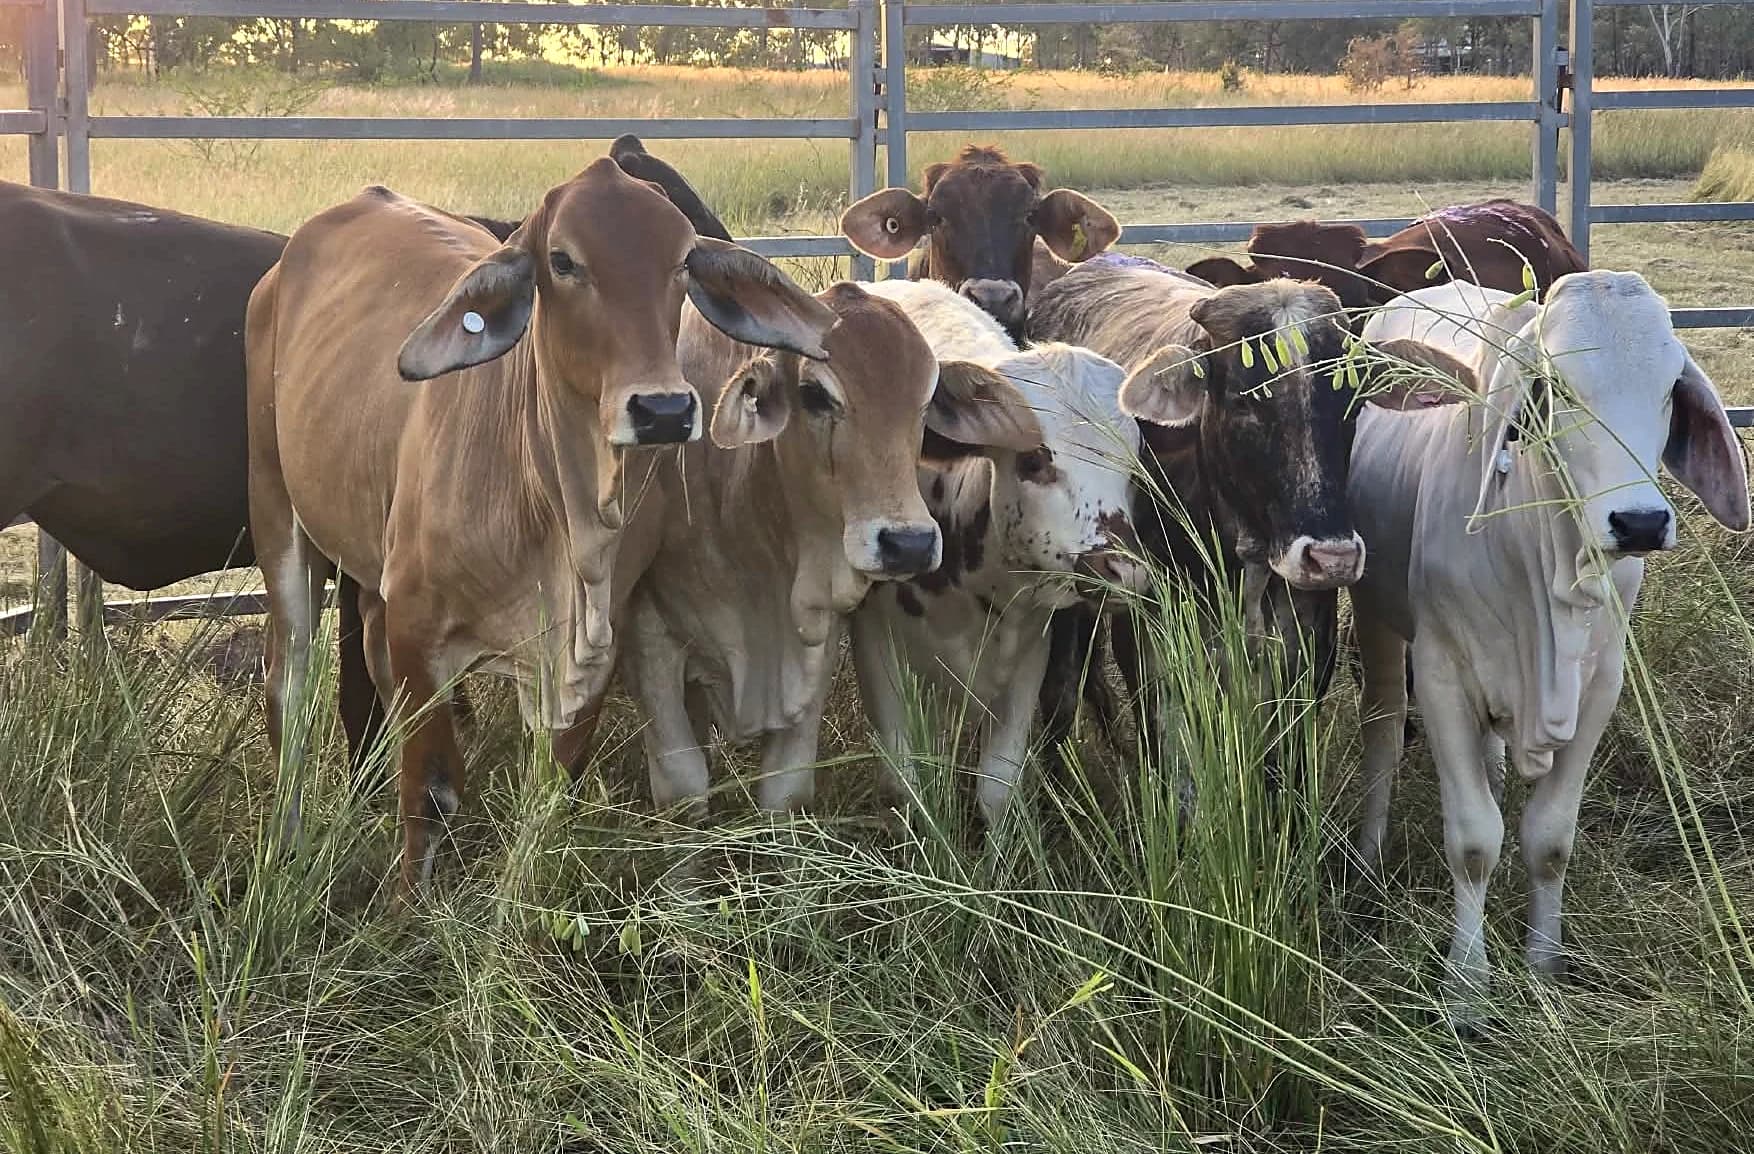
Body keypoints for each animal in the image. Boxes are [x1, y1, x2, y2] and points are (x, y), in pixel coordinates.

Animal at [247, 160, 839, 890]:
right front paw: (410, 905)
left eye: (681, 262)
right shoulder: (419, 626)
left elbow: (552, 788)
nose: (664, 410)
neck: (561, 514)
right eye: (563, 261)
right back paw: (284, 845)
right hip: (277, 514)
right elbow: (430, 792)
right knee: (289, 684)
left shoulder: (592, 646)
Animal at [619, 282, 1043, 814]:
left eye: (927, 402)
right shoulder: (647, 635)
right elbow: (683, 783)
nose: (909, 545)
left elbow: (786, 788)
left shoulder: (814, 641)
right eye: (814, 394)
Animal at [848, 279, 1145, 824]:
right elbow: (907, 781)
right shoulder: (876, 644)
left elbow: (997, 787)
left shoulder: (1031, 653)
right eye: (1033, 460)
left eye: (1134, 468)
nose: (1122, 572)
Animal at [1348, 273, 1750, 1025]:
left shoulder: (1600, 689)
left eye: (1667, 387)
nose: (1640, 522)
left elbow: (1550, 839)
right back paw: (1366, 855)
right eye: (1558, 386)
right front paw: (1467, 988)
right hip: (1375, 620)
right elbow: (1474, 840)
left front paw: (1544, 963)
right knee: (1382, 730)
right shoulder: (1442, 678)